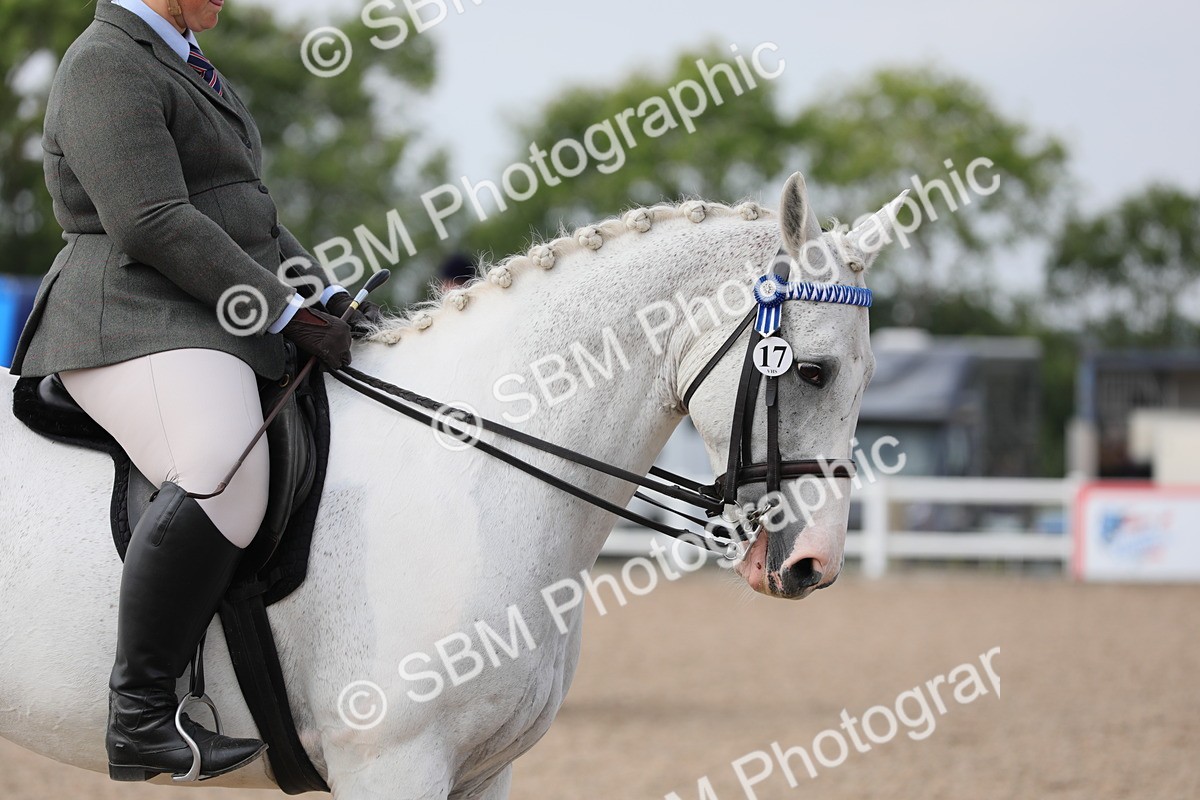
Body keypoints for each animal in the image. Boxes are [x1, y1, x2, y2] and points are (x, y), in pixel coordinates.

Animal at [0, 173, 904, 798]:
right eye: (814, 372)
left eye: (866, 378)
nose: (815, 565)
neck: (469, 467)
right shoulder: (391, 763)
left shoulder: (482, 770)